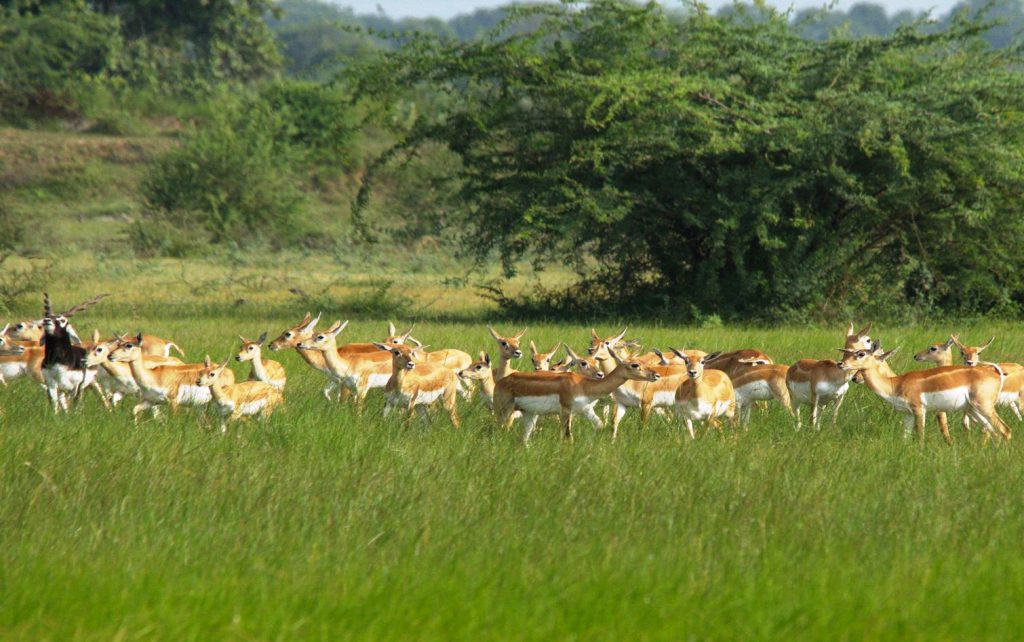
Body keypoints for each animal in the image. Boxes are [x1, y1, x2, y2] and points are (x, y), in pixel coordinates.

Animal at [493, 346, 655, 446]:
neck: (584, 385)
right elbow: (568, 436)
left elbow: (600, 425)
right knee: (501, 430)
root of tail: (501, 382)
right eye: (635, 365)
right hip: (505, 411)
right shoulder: (565, 410)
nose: (655, 375)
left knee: (523, 439)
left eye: (641, 362)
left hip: (530, 414)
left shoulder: (586, 410)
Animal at [835, 344, 1011, 444]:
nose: (841, 363)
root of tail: (997, 374)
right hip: (973, 410)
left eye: (861, 354)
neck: (896, 383)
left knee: (1005, 430)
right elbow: (905, 438)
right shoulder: (907, 414)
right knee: (994, 432)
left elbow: (920, 435)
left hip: (984, 406)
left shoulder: (919, 409)